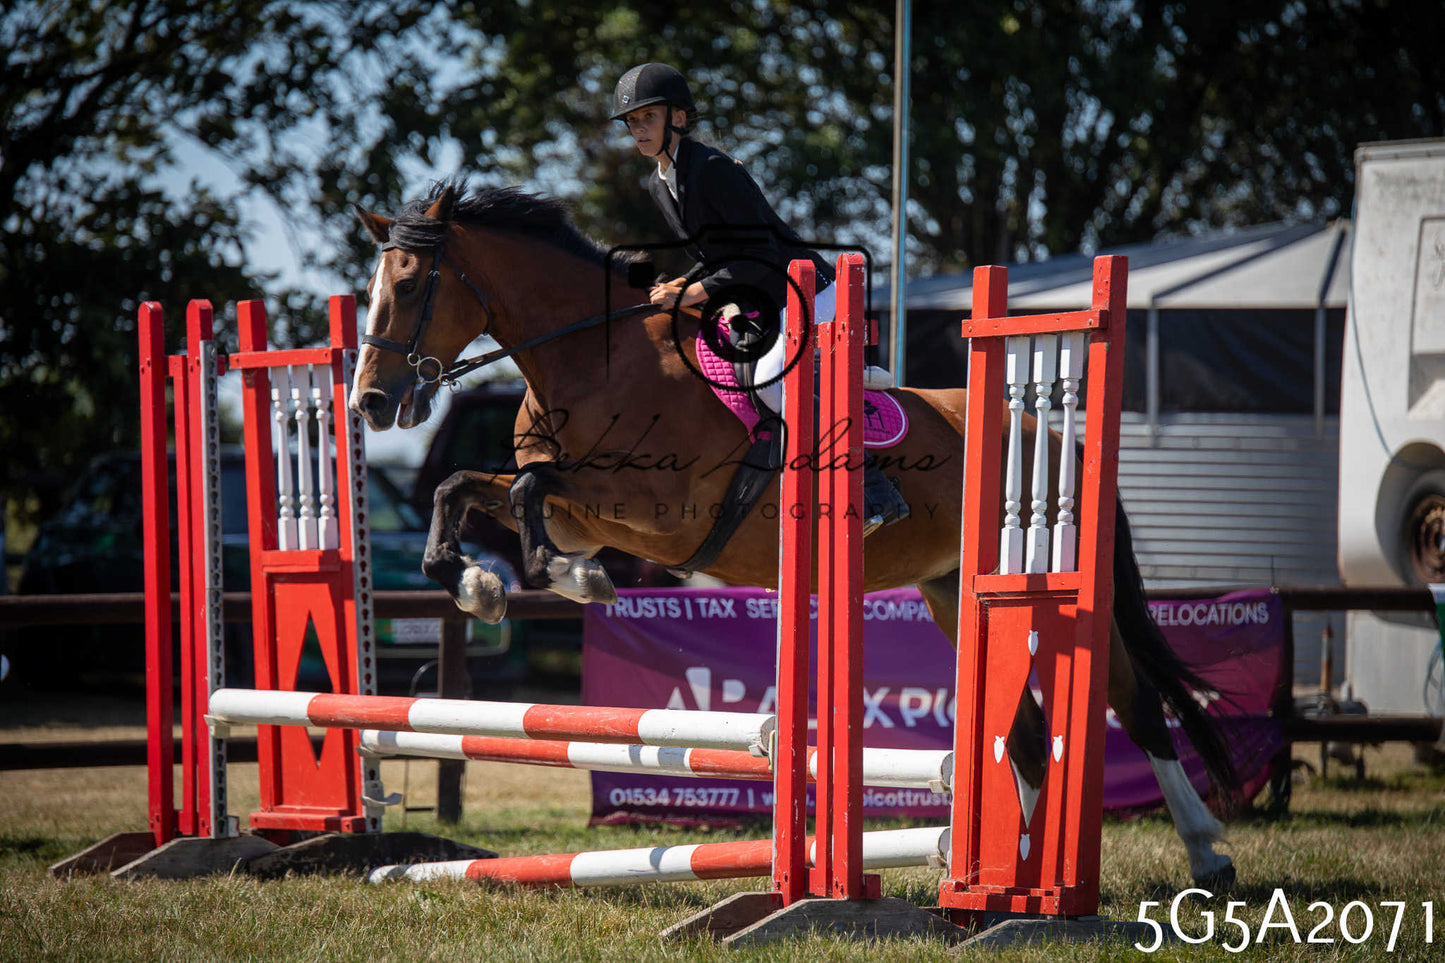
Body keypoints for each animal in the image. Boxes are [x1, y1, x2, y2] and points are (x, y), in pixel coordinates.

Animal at [348, 181, 1239, 887]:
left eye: (411, 285)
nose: (368, 403)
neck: (592, 362)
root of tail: (1056, 438)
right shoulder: (586, 506)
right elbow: (469, 488)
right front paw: (478, 582)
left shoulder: (656, 507)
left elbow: (531, 493)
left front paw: (568, 577)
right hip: (955, 593)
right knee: (1019, 735)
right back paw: (996, 867)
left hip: (1049, 593)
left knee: (1135, 703)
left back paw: (1203, 854)